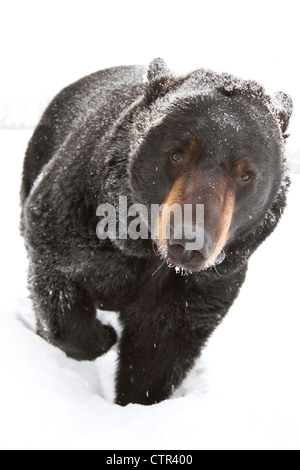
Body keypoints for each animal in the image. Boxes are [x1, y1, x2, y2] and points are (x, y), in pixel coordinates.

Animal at [21, 57, 292, 404]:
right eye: (176, 153)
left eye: (246, 175)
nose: (190, 240)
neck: (146, 245)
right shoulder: (75, 216)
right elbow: (57, 275)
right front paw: (101, 337)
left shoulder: (206, 281)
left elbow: (160, 349)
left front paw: (136, 400)